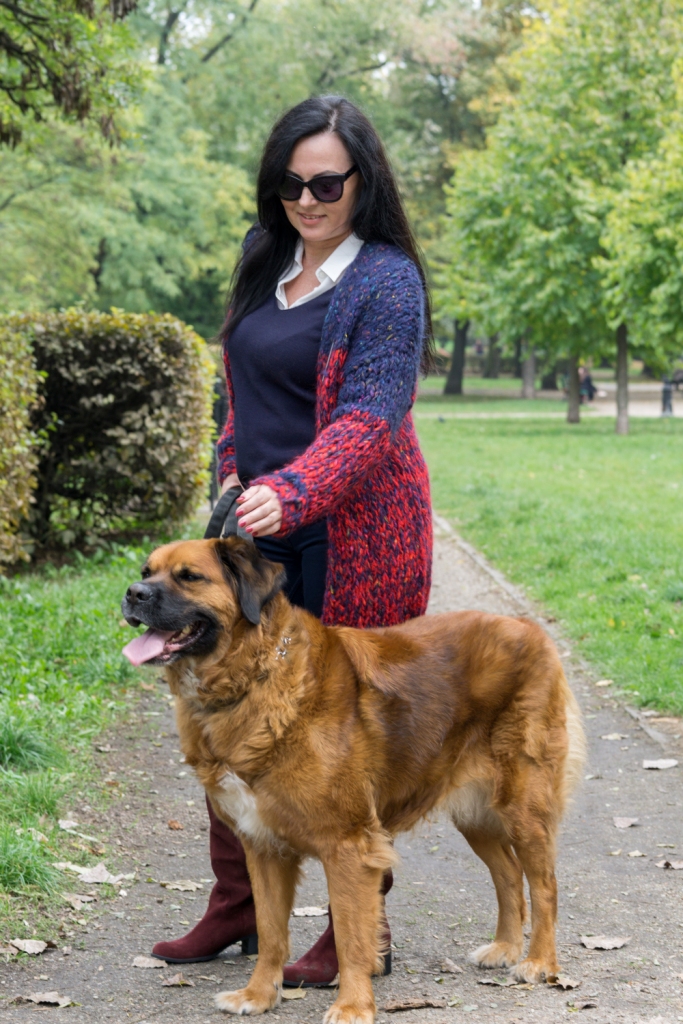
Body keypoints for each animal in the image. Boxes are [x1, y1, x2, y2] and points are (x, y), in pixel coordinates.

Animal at [121, 536, 585, 1024]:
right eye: (146, 572)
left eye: (190, 577)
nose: (133, 594)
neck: (255, 678)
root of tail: (527, 627)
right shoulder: (262, 844)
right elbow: (270, 930)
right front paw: (259, 994)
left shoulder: (347, 846)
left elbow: (349, 934)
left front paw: (353, 1005)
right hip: (475, 814)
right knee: (509, 875)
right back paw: (506, 948)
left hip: (522, 805)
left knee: (544, 884)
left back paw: (539, 962)